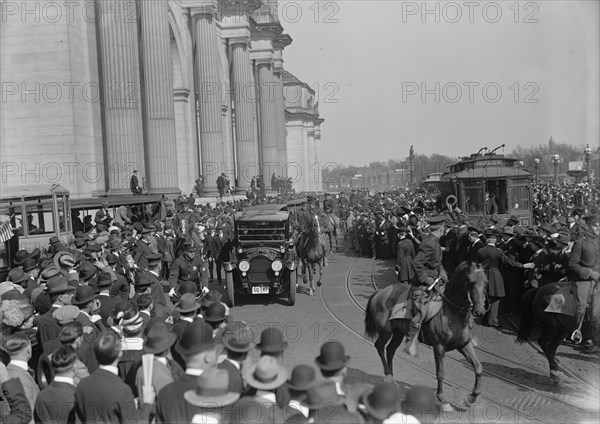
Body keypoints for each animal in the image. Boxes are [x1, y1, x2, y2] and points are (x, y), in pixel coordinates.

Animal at [364, 264, 490, 410]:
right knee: (380, 347)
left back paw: (392, 380)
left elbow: (478, 367)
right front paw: (442, 399)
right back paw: (388, 377)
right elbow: (440, 373)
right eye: (471, 283)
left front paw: (471, 398)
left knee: (390, 350)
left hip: (398, 333)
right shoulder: (439, 347)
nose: (479, 311)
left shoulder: (464, 345)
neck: (451, 311)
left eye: (486, 282)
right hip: (386, 331)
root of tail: (380, 292)